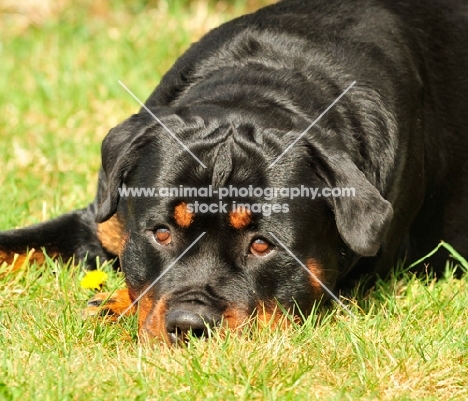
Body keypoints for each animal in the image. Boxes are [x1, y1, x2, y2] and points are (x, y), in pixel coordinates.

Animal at [0, 0, 468, 344]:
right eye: (161, 234)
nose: (191, 326)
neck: (264, 85)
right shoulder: (100, 220)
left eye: (262, 245)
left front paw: (114, 303)